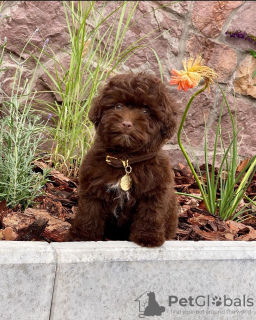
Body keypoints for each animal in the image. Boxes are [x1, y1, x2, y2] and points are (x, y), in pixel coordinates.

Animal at [68, 72, 180, 248]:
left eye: (146, 111)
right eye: (118, 106)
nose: (127, 123)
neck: (125, 159)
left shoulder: (154, 191)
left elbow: (150, 214)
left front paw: (148, 237)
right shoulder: (93, 187)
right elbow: (89, 213)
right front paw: (83, 236)